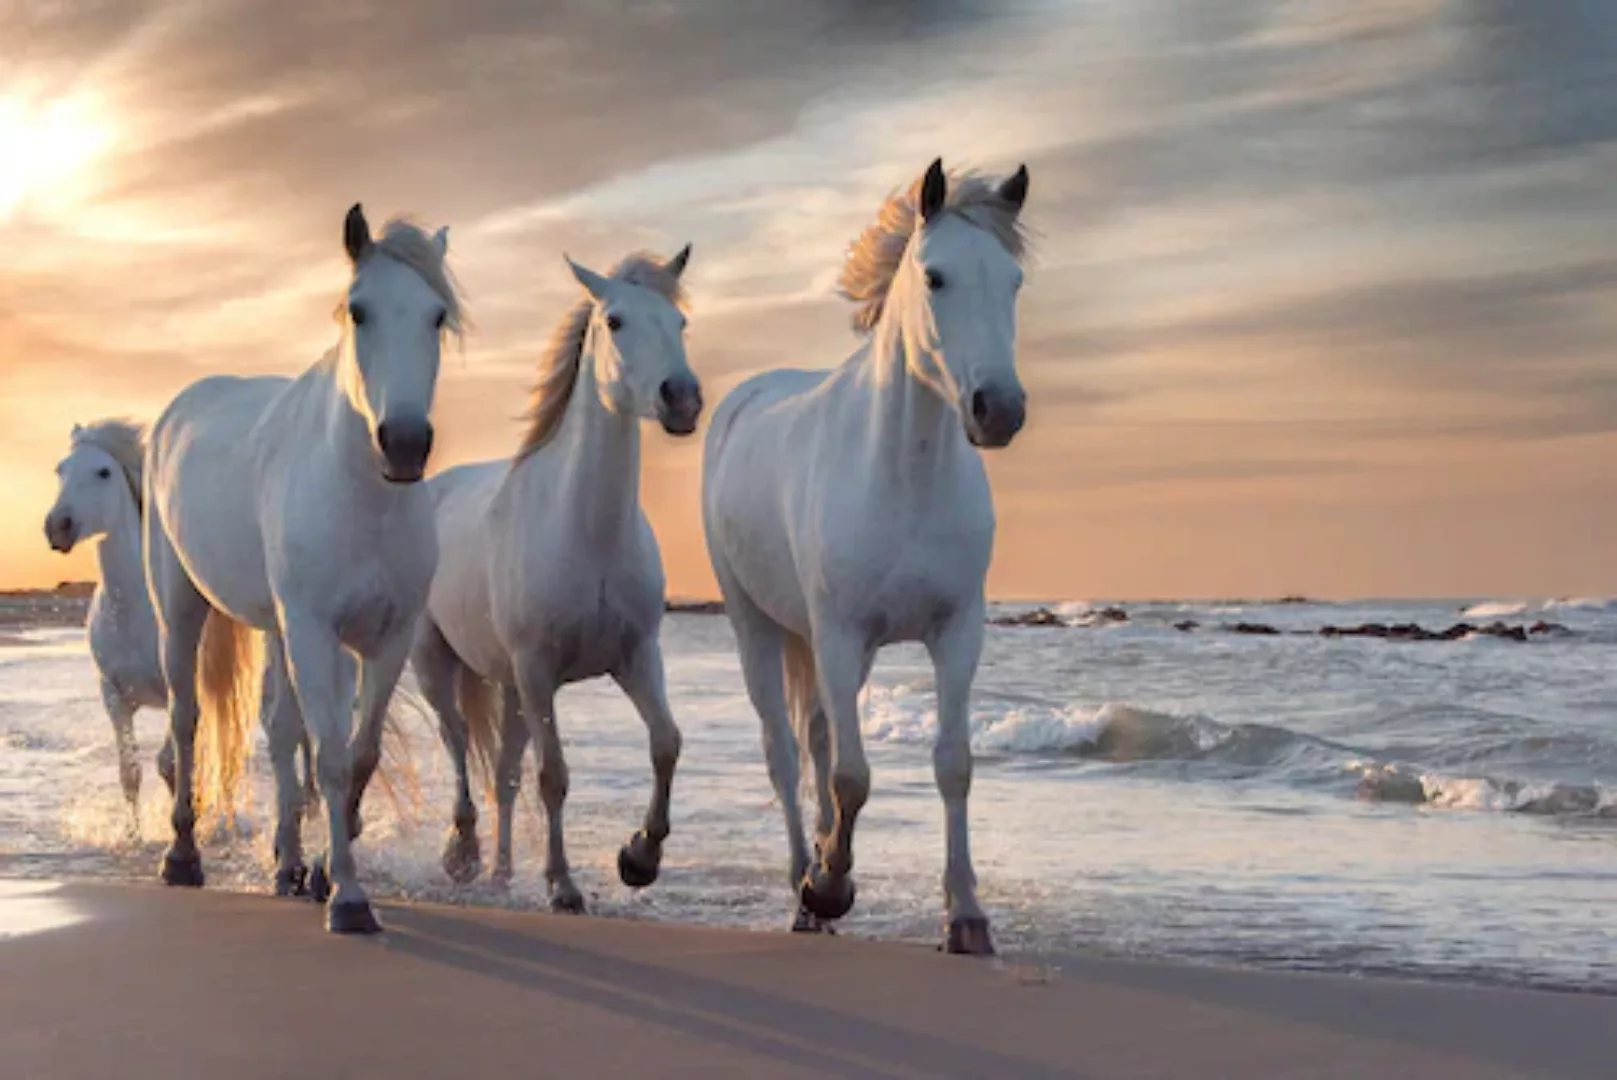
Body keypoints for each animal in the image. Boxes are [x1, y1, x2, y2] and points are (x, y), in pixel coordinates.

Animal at [42, 420, 316, 827]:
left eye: (104, 472)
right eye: (60, 470)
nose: (57, 527)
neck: (132, 613)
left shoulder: (181, 686)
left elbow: (168, 763)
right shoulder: (114, 696)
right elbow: (131, 774)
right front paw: (136, 834)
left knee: (301, 738)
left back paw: (310, 806)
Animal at [145, 206, 462, 931]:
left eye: (436, 315)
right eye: (359, 310)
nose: (404, 444)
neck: (364, 499)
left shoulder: (385, 638)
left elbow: (356, 754)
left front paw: (321, 873)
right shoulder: (315, 632)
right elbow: (332, 758)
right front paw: (348, 898)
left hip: (276, 628)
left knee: (281, 731)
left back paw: (287, 865)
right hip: (180, 608)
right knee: (186, 717)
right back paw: (182, 856)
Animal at [407, 247, 698, 911]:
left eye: (679, 321)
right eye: (615, 320)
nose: (682, 398)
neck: (586, 531)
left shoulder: (637, 657)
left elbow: (666, 743)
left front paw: (639, 858)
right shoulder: (539, 670)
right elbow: (554, 776)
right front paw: (563, 885)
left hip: (511, 688)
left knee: (504, 773)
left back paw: (501, 873)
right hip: (439, 664)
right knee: (458, 743)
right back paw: (463, 855)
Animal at [701, 160, 1028, 950]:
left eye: (1013, 281)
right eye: (935, 277)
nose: (998, 410)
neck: (905, 474)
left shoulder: (955, 633)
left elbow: (952, 765)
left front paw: (966, 915)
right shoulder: (841, 633)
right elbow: (852, 776)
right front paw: (828, 886)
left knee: (817, 738)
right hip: (757, 627)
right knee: (785, 754)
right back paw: (804, 888)